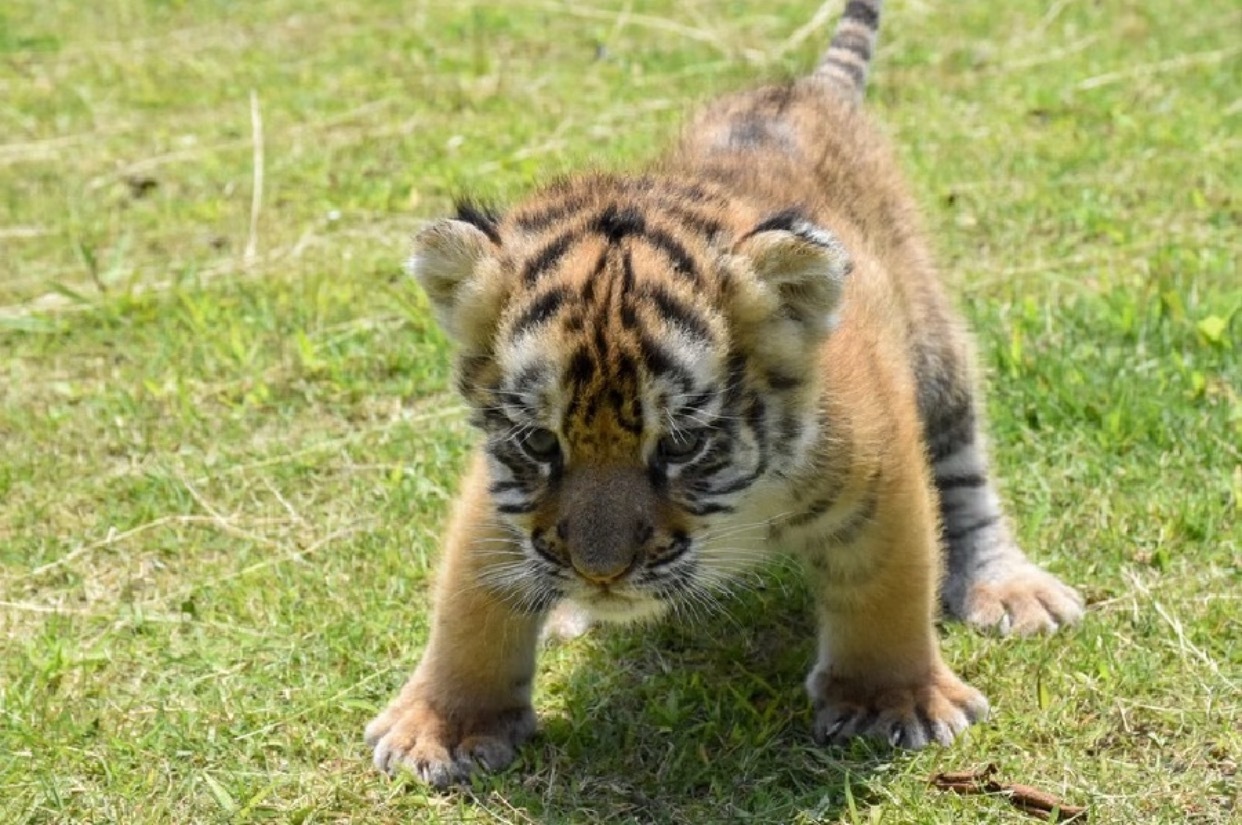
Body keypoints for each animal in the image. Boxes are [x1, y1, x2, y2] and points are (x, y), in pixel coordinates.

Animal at [365, 0, 1084, 787]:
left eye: (681, 446)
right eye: (540, 442)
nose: (600, 572)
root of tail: (802, 91)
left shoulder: (879, 465)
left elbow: (890, 584)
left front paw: (892, 702)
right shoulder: (499, 490)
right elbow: (470, 599)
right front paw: (445, 727)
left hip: (937, 345)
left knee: (965, 467)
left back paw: (1008, 587)